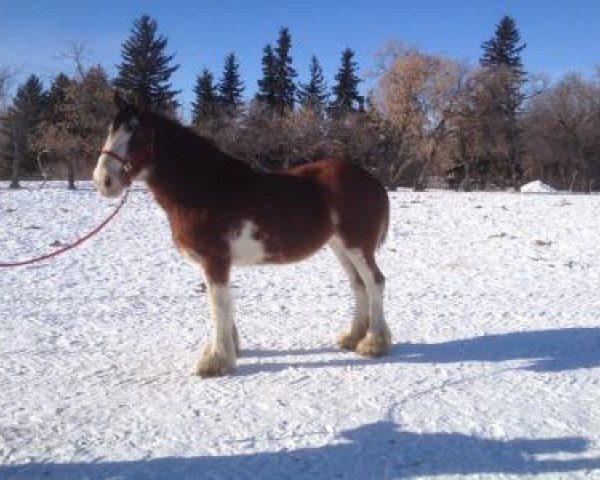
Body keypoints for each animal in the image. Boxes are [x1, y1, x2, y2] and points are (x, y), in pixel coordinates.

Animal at [92, 94, 394, 376]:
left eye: (137, 134)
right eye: (110, 130)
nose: (103, 181)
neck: (203, 188)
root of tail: (372, 180)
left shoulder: (214, 260)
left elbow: (219, 305)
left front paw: (216, 362)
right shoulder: (213, 264)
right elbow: (222, 304)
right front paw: (226, 350)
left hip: (357, 246)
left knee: (375, 282)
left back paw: (373, 343)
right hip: (339, 246)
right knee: (358, 285)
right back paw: (353, 337)